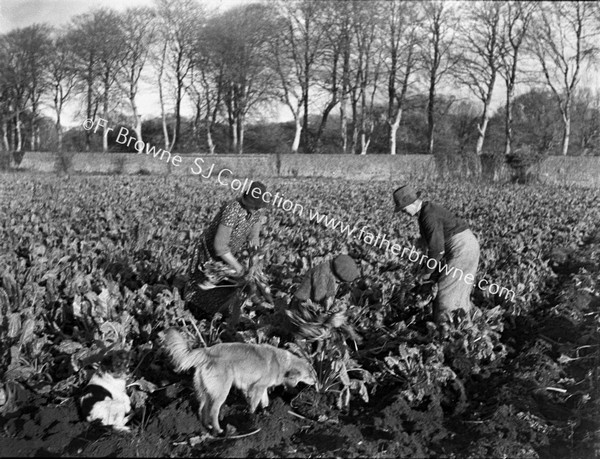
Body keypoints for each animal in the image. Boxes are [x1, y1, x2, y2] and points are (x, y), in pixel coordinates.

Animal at [162, 328, 316, 434]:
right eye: (310, 375)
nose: (315, 383)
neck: (282, 363)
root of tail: (207, 351)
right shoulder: (257, 388)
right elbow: (254, 404)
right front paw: (252, 417)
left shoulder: (262, 388)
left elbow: (265, 401)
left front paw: (267, 413)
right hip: (222, 391)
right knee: (213, 411)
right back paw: (218, 430)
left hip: (205, 391)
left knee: (202, 409)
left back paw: (208, 426)